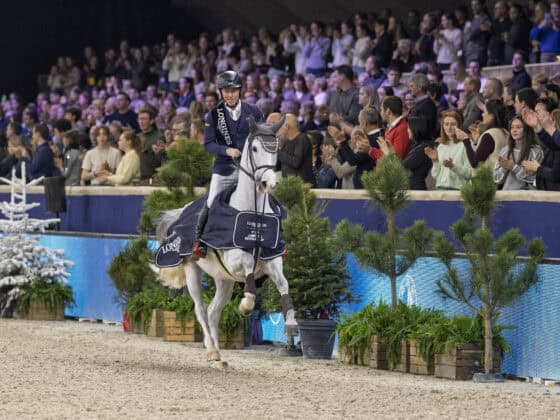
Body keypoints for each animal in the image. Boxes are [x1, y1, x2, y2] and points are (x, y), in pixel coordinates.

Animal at [151, 116, 296, 362]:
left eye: (275, 148)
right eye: (255, 149)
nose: (269, 184)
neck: (254, 214)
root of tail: (181, 212)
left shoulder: (272, 259)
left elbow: (283, 284)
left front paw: (292, 324)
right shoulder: (235, 259)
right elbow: (248, 267)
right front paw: (246, 305)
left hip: (224, 280)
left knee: (213, 312)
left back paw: (219, 356)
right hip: (192, 270)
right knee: (201, 309)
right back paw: (212, 350)